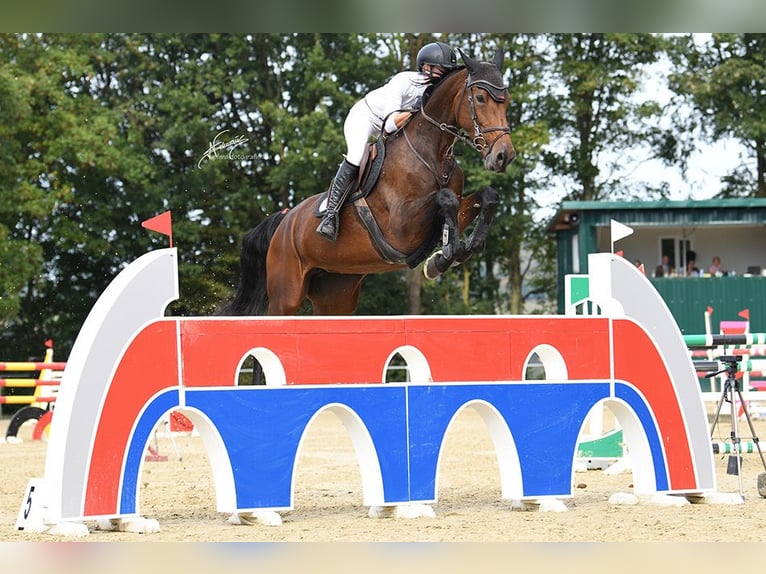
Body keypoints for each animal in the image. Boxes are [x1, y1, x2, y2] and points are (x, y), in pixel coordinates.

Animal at [222, 48, 516, 320]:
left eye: (506, 102)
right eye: (480, 98)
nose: (504, 156)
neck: (432, 153)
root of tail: (284, 221)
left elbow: (486, 196)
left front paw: (459, 251)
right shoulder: (402, 227)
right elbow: (446, 199)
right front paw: (445, 257)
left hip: (335, 295)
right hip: (286, 294)